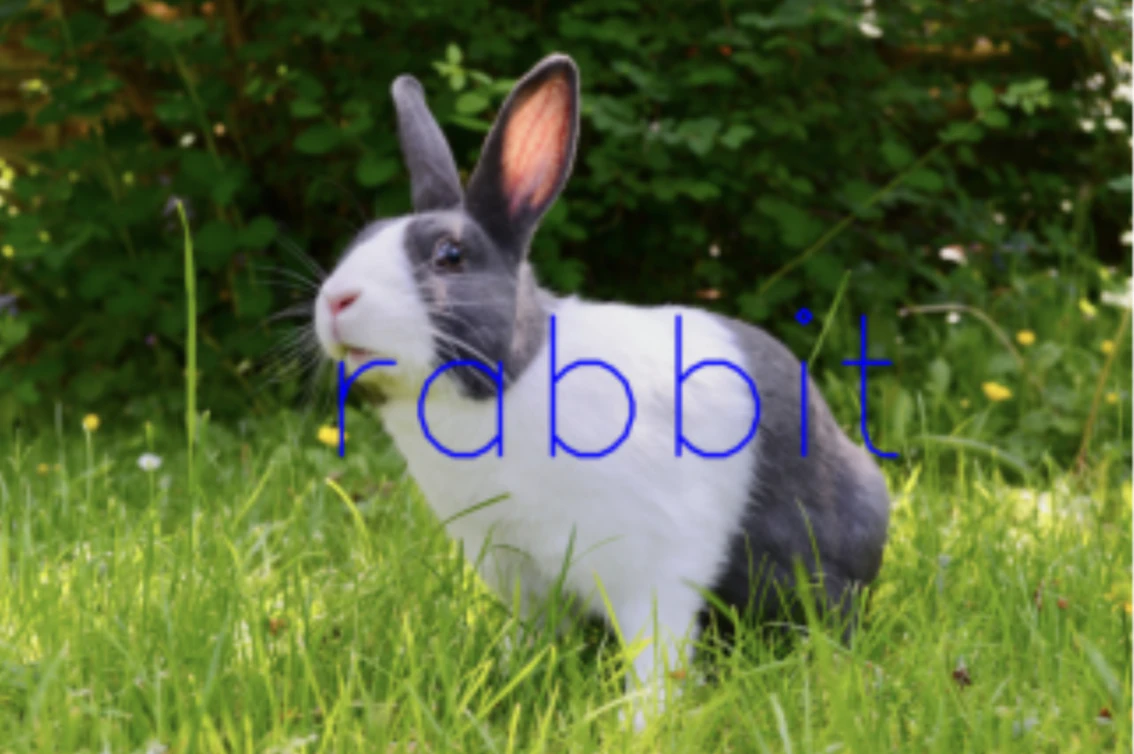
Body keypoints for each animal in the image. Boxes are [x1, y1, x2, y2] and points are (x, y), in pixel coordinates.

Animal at [313, 53, 892, 728]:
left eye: (449, 255)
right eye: (361, 240)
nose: (335, 300)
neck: (510, 382)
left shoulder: (652, 568)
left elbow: (656, 655)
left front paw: (640, 725)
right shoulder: (517, 570)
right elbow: (529, 638)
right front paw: (506, 682)